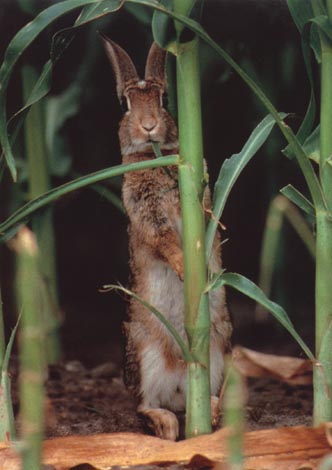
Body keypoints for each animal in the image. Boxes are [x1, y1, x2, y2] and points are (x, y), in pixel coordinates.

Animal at [102, 36, 232, 440]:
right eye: (125, 104)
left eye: (165, 99)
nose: (149, 126)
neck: (153, 156)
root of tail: (178, 383)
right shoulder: (146, 215)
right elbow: (162, 239)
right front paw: (183, 267)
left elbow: (207, 218)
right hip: (143, 351)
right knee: (145, 405)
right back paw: (167, 425)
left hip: (218, 344)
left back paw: (213, 413)